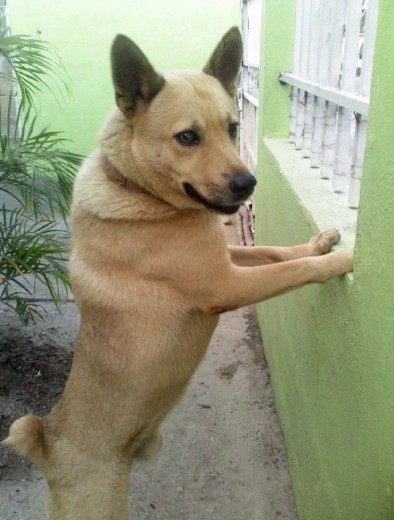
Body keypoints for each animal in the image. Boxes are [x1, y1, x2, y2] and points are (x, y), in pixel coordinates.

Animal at [3, 28, 352, 520]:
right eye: (187, 137)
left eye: (233, 128)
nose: (248, 184)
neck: (141, 192)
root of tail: (49, 443)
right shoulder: (227, 284)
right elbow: (298, 268)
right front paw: (341, 261)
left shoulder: (226, 260)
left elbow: (275, 251)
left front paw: (320, 243)